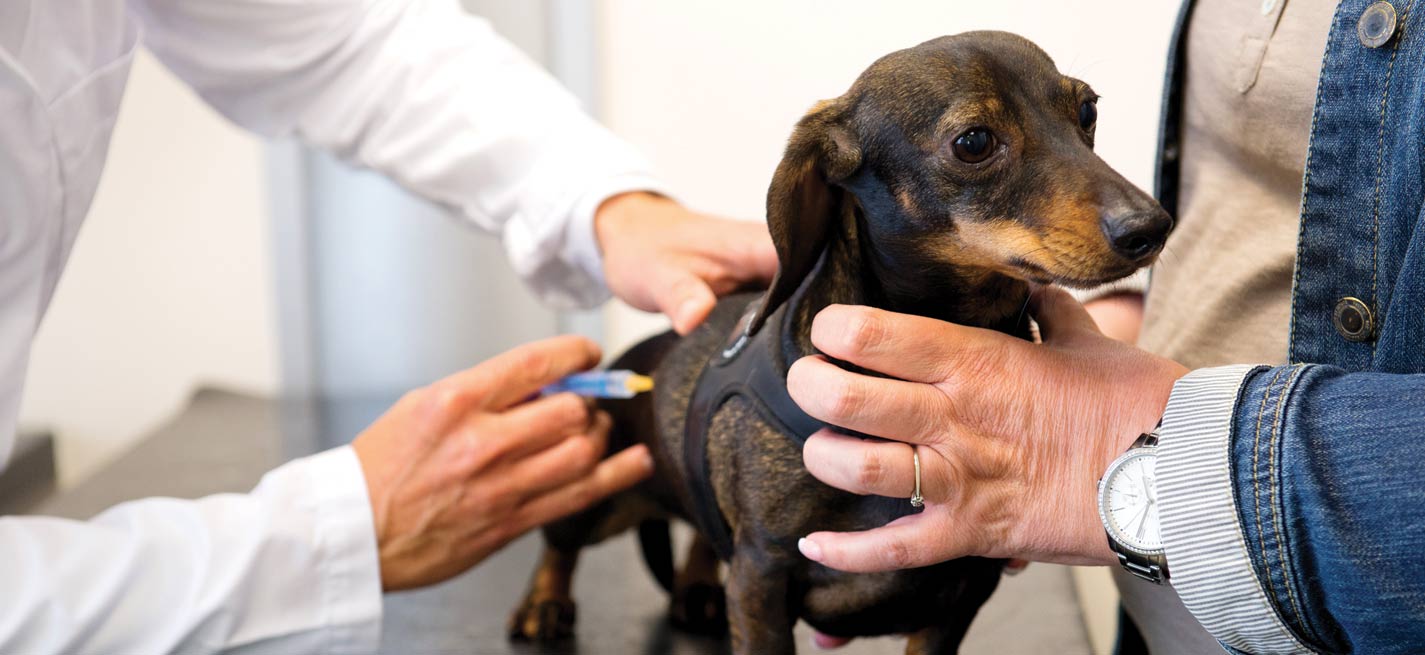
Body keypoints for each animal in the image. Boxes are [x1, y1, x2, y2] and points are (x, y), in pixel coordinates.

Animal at [507, 32, 1174, 655]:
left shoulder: (962, 592)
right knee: (561, 543)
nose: (1152, 227)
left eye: (1087, 110)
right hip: (599, 493)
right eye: (974, 143)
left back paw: (694, 588)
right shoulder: (761, 574)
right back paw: (544, 603)